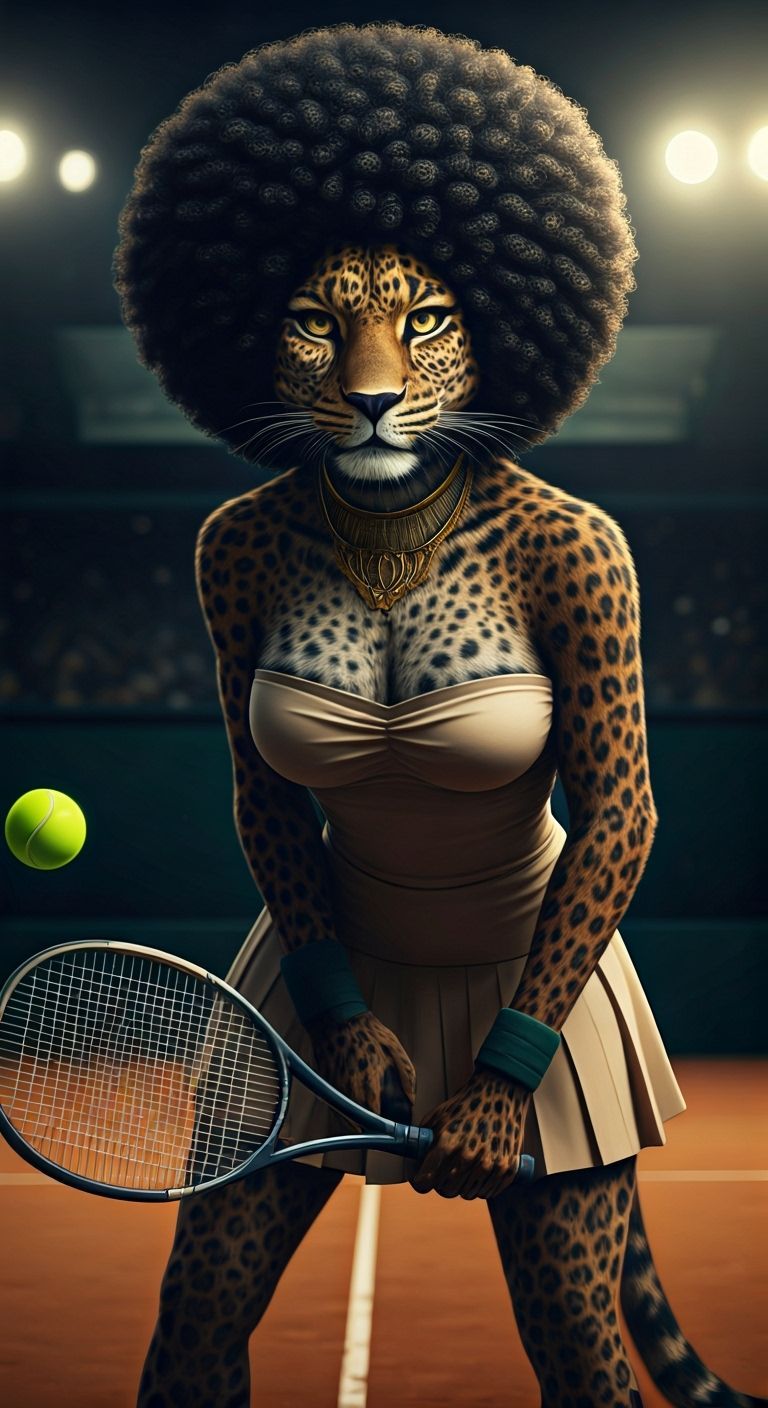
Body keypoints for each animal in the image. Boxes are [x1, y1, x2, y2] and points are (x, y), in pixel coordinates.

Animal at [137, 245, 764, 1408]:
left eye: (427, 318)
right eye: (312, 321)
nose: (374, 403)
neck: (393, 516)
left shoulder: (595, 565)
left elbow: (618, 797)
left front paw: (476, 1125)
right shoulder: (223, 555)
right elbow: (266, 791)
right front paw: (364, 1055)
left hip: (573, 1205)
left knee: (581, 1332)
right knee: (205, 1307)